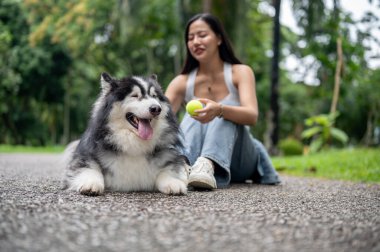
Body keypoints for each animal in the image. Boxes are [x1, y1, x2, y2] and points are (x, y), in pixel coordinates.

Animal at [61, 72, 189, 195]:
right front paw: (91, 184)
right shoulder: (84, 157)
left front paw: (173, 182)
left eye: (154, 96)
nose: (156, 108)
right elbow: (90, 169)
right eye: (135, 96)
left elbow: (168, 171)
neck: (134, 145)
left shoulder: (170, 157)